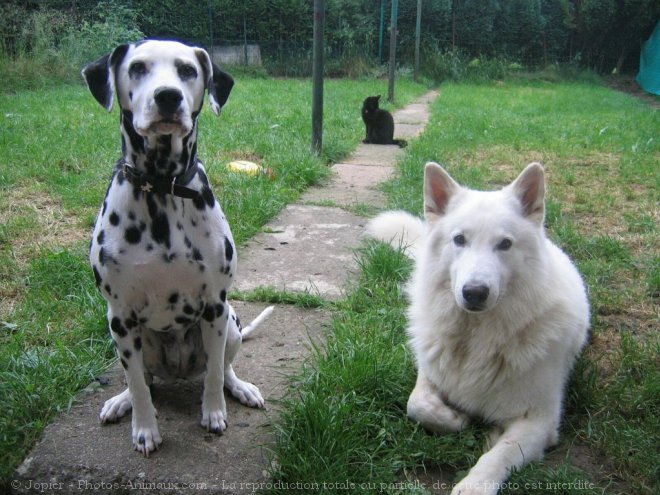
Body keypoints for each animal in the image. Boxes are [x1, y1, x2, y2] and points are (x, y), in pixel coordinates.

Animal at [81, 40, 272, 456]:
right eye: (137, 67)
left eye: (187, 70)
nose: (167, 96)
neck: (161, 189)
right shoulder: (120, 315)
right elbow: (137, 384)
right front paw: (144, 428)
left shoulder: (215, 306)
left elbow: (214, 373)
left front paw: (214, 413)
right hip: (123, 335)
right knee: (143, 379)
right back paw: (121, 401)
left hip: (231, 324)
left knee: (223, 368)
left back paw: (240, 389)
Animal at [368, 163, 592, 495]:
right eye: (459, 239)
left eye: (505, 244)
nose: (474, 292)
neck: (478, 340)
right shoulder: (429, 372)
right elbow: (417, 405)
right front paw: (456, 418)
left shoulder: (540, 421)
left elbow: (500, 454)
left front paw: (475, 482)